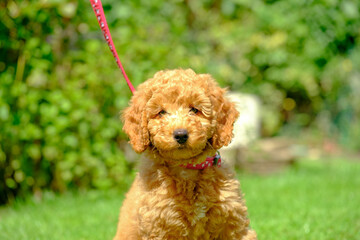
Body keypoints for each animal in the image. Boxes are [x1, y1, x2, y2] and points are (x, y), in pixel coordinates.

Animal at [113, 68, 256, 239]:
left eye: (194, 110)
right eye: (161, 112)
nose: (181, 135)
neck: (187, 168)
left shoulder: (233, 221)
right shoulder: (159, 225)